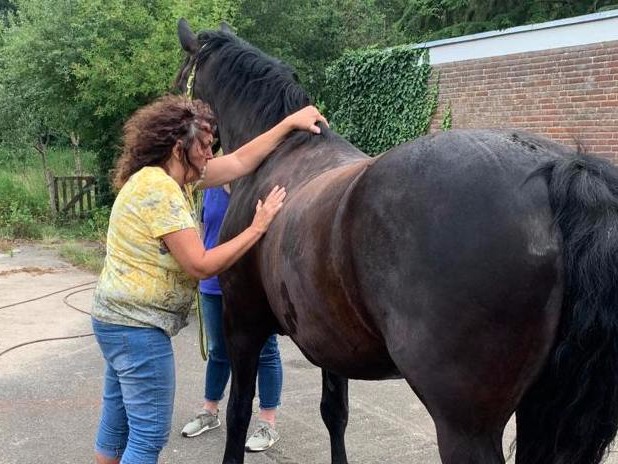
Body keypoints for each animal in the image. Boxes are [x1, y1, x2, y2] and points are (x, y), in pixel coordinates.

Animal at [173, 19, 616, 464]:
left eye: (181, 81)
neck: (278, 154)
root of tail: (555, 170)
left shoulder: (242, 324)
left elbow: (239, 410)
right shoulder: (329, 339)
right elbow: (334, 413)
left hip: (465, 426)